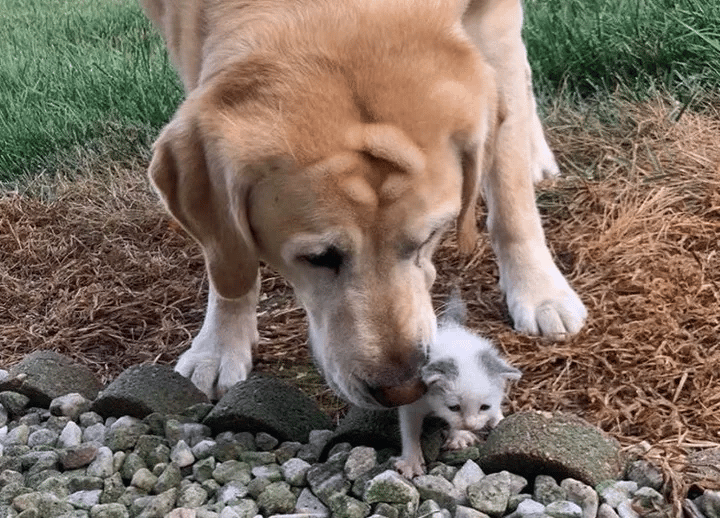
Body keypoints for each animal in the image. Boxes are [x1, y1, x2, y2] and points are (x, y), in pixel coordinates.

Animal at [139, 0, 584, 408]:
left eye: (430, 236)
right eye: (319, 257)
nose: (404, 389)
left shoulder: (493, 20)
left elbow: (510, 195)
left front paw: (539, 290)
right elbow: (226, 256)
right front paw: (219, 344)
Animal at [394, 292, 524, 480]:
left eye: (484, 407)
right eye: (454, 407)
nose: (470, 425)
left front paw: (458, 435)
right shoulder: (413, 398)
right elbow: (409, 429)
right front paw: (411, 461)